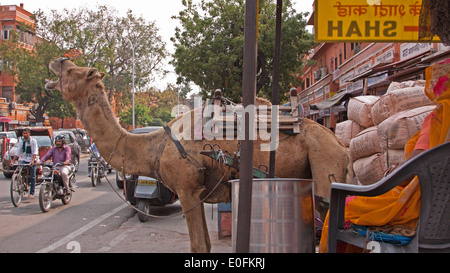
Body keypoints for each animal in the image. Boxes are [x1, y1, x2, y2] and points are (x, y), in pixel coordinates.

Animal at [46, 58, 356, 252]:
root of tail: (341, 145)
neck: (157, 146)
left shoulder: (187, 189)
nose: (58, 60)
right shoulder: (195, 192)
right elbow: (204, 244)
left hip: (325, 164)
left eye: (74, 72)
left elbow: (198, 245)